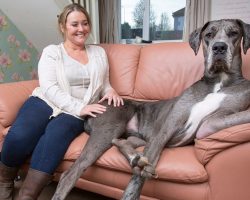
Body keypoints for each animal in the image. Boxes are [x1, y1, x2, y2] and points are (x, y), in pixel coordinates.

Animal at [51, 18, 250, 200]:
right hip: (109, 129)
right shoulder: (166, 129)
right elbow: (137, 179)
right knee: (70, 174)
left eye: (234, 33)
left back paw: (136, 158)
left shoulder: (210, 124)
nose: (219, 47)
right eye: (208, 35)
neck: (219, 81)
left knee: (120, 141)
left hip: (134, 136)